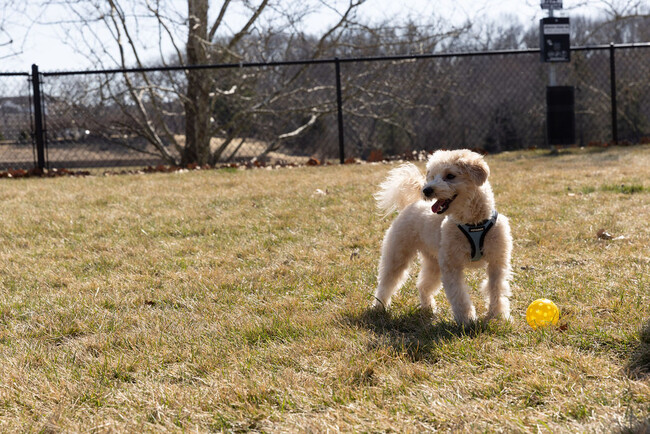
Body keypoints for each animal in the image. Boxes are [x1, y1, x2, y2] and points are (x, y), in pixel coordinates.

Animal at [374, 151, 512, 324]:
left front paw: (497, 316)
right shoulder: (451, 266)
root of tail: (412, 204)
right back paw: (379, 307)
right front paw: (466, 320)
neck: (472, 222)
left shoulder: (496, 263)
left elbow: (496, 290)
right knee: (386, 283)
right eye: (432, 176)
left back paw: (428, 308)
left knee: (423, 285)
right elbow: (459, 294)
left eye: (450, 176)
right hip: (397, 256)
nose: (426, 190)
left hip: (433, 263)